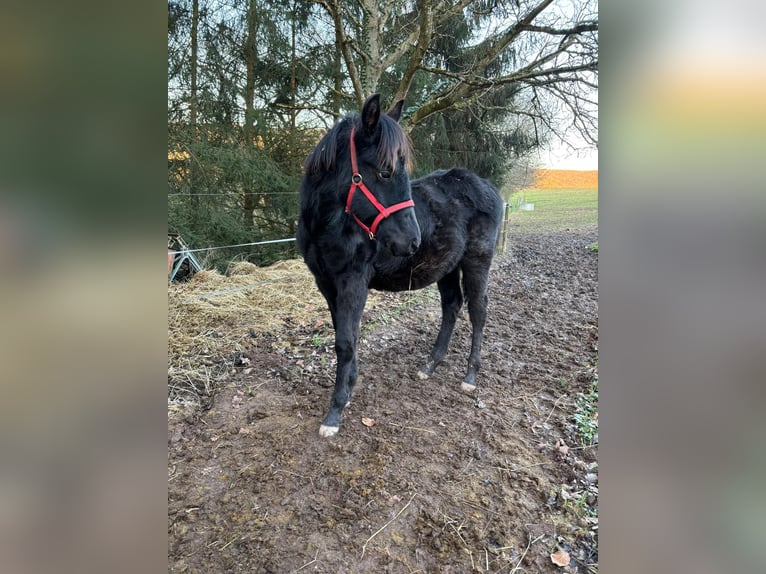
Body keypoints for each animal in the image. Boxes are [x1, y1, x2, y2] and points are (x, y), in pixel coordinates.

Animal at [296, 94, 508, 438]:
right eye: (384, 172)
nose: (411, 241)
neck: (329, 225)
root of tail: (488, 188)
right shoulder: (327, 284)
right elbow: (346, 335)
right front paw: (349, 389)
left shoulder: (353, 281)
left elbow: (345, 343)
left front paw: (335, 411)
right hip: (447, 267)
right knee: (452, 306)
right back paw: (430, 365)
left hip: (477, 261)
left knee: (478, 311)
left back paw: (469, 376)